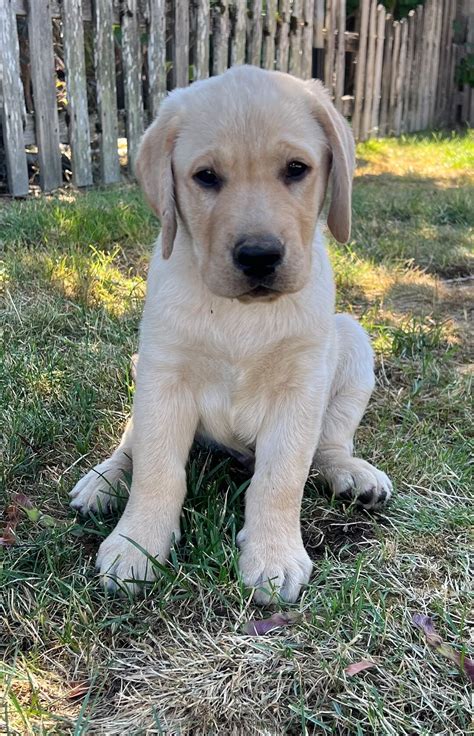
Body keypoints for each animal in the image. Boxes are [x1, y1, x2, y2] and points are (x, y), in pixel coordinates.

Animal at [69, 66, 388, 600]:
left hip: (353, 345)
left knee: (328, 444)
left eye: (296, 169)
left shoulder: (300, 388)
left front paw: (274, 555)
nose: (259, 256)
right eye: (207, 177)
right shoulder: (164, 376)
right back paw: (103, 481)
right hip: (142, 370)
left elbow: (281, 478)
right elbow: (157, 470)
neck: (241, 314)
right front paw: (137, 544)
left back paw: (351, 473)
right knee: (131, 444)